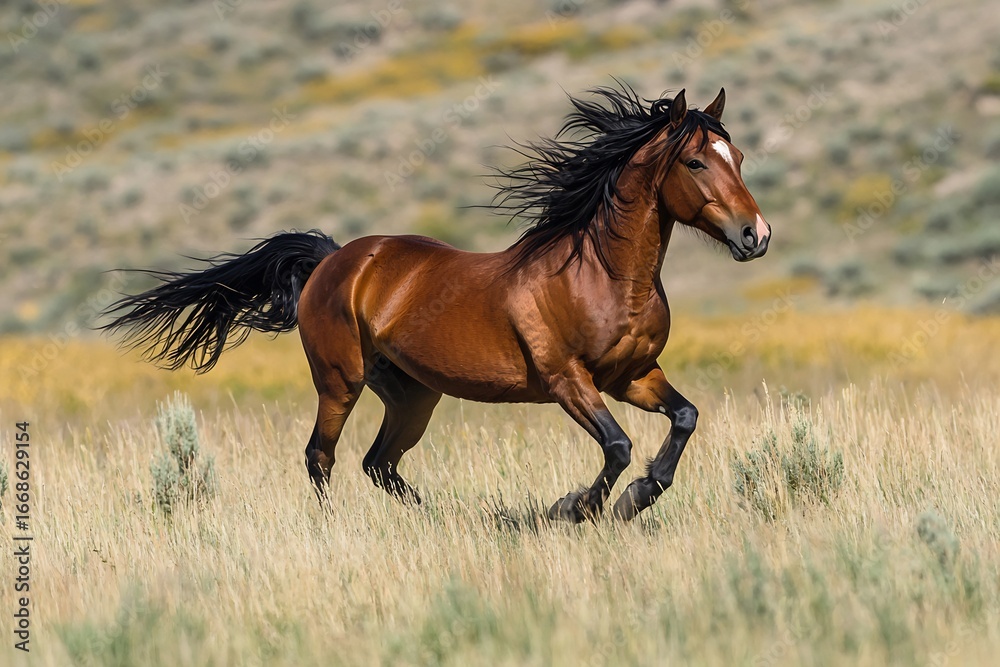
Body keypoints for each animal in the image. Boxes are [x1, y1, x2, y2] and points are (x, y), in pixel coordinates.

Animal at [102, 84, 770, 523]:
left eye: (738, 158)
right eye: (694, 161)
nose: (755, 236)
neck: (601, 275)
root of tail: (337, 259)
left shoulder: (633, 375)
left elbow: (683, 419)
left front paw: (636, 497)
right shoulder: (568, 380)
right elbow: (617, 447)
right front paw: (575, 507)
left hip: (413, 394)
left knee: (378, 463)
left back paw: (440, 518)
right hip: (339, 381)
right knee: (322, 456)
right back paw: (337, 529)